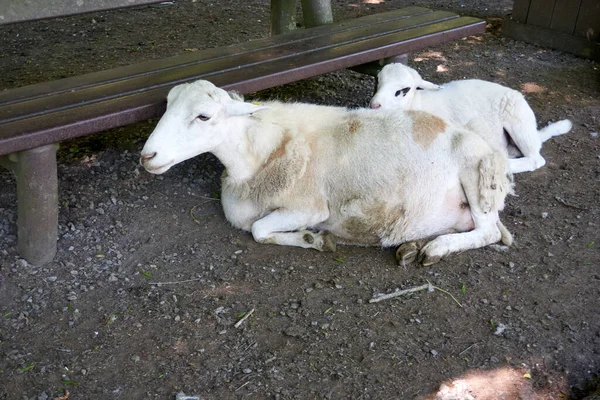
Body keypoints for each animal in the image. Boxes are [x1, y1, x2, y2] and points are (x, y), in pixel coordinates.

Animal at [139, 79, 510, 266]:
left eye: (203, 116)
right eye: (167, 105)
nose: (147, 156)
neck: (259, 153)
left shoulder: (310, 207)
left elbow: (259, 229)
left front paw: (313, 239)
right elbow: (258, 228)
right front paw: (310, 238)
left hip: (477, 175)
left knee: (488, 232)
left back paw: (437, 249)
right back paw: (412, 246)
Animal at [370, 63, 572, 173]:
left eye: (403, 90)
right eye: (376, 81)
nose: (374, 105)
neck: (417, 104)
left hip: (518, 121)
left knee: (535, 159)